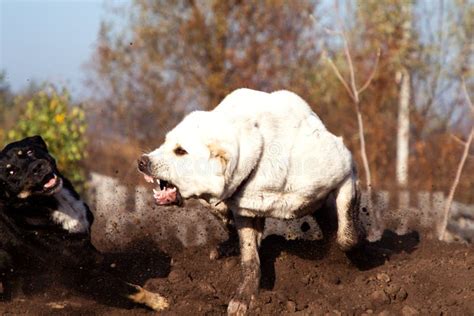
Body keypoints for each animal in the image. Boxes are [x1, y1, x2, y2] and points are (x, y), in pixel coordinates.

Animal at [0, 136, 168, 312]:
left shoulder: (87, 250)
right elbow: (129, 289)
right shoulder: (78, 272)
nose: (37, 167)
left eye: (29, 152)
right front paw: (157, 301)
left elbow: (117, 261)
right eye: (11, 172)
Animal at [139, 89, 364, 316]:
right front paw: (244, 297)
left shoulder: (345, 170)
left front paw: (358, 256)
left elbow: (347, 237)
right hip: (216, 204)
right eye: (165, 143)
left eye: (180, 151)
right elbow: (249, 257)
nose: (142, 161)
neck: (261, 160)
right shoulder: (244, 212)